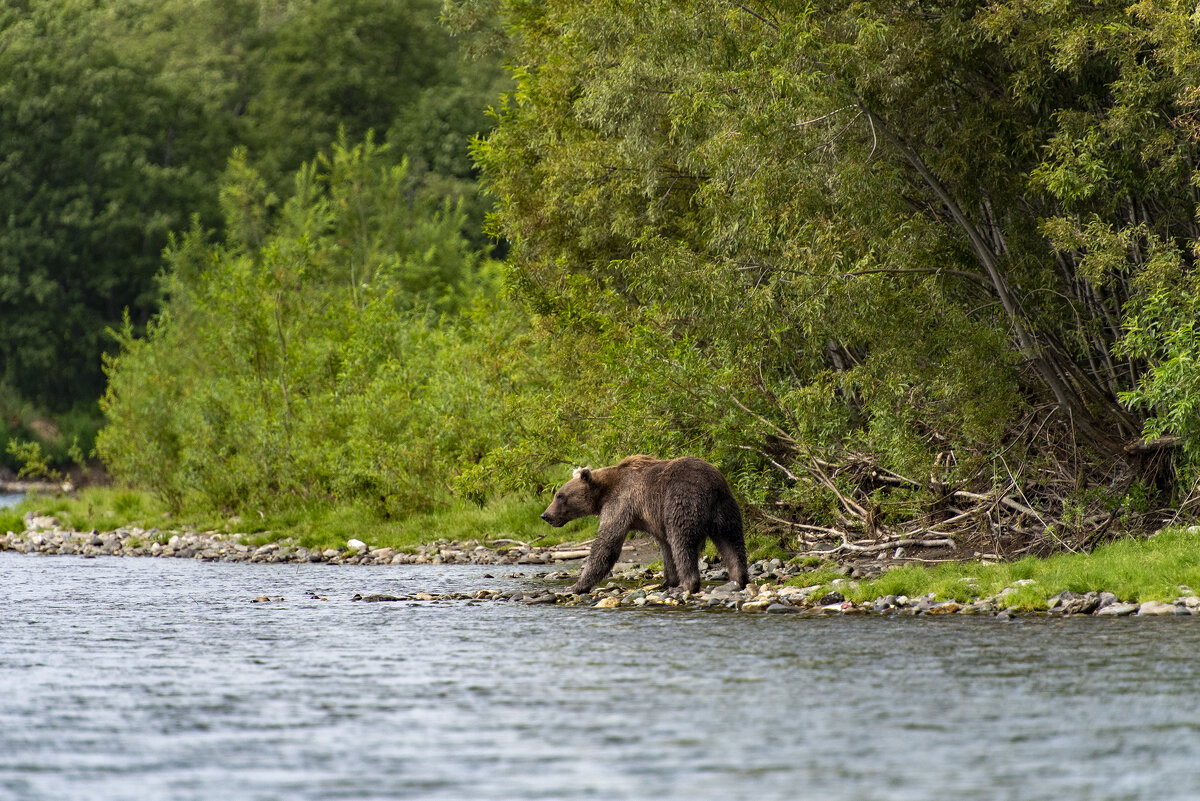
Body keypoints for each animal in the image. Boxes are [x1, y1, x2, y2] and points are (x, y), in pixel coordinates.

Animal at [540, 453, 744, 592]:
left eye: (560, 495)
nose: (545, 515)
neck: (603, 492)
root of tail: (711, 487)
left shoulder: (620, 504)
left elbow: (606, 544)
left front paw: (576, 585)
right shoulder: (654, 518)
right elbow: (665, 546)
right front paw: (667, 581)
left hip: (681, 500)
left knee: (682, 542)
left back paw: (687, 585)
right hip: (726, 509)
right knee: (732, 543)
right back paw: (739, 578)